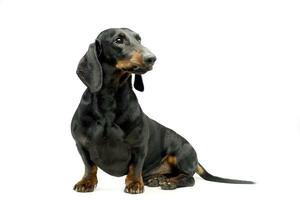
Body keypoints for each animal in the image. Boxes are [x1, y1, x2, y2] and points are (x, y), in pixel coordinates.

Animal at [71, 28, 254, 194]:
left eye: (139, 39)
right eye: (118, 40)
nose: (151, 58)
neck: (110, 98)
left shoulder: (139, 146)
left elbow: (134, 167)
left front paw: (135, 183)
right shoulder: (82, 144)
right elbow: (90, 166)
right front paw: (86, 182)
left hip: (181, 154)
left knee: (189, 178)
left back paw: (170, 182)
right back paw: (157, 179)